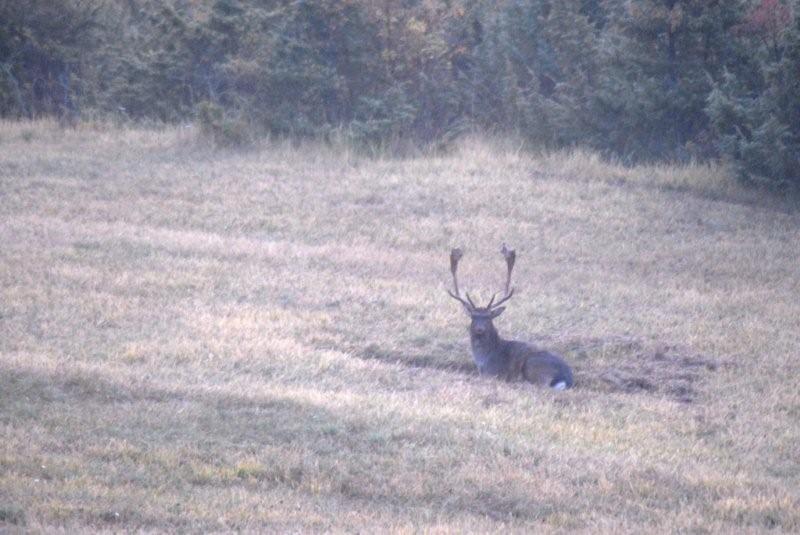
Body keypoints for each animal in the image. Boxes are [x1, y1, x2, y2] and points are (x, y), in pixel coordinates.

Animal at [446, 246, 572, 390]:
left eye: (489, 317)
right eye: (473, 316)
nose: (479, 329)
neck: (484, 358)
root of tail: (565, 378)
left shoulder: (492, 373)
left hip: (534, 366)